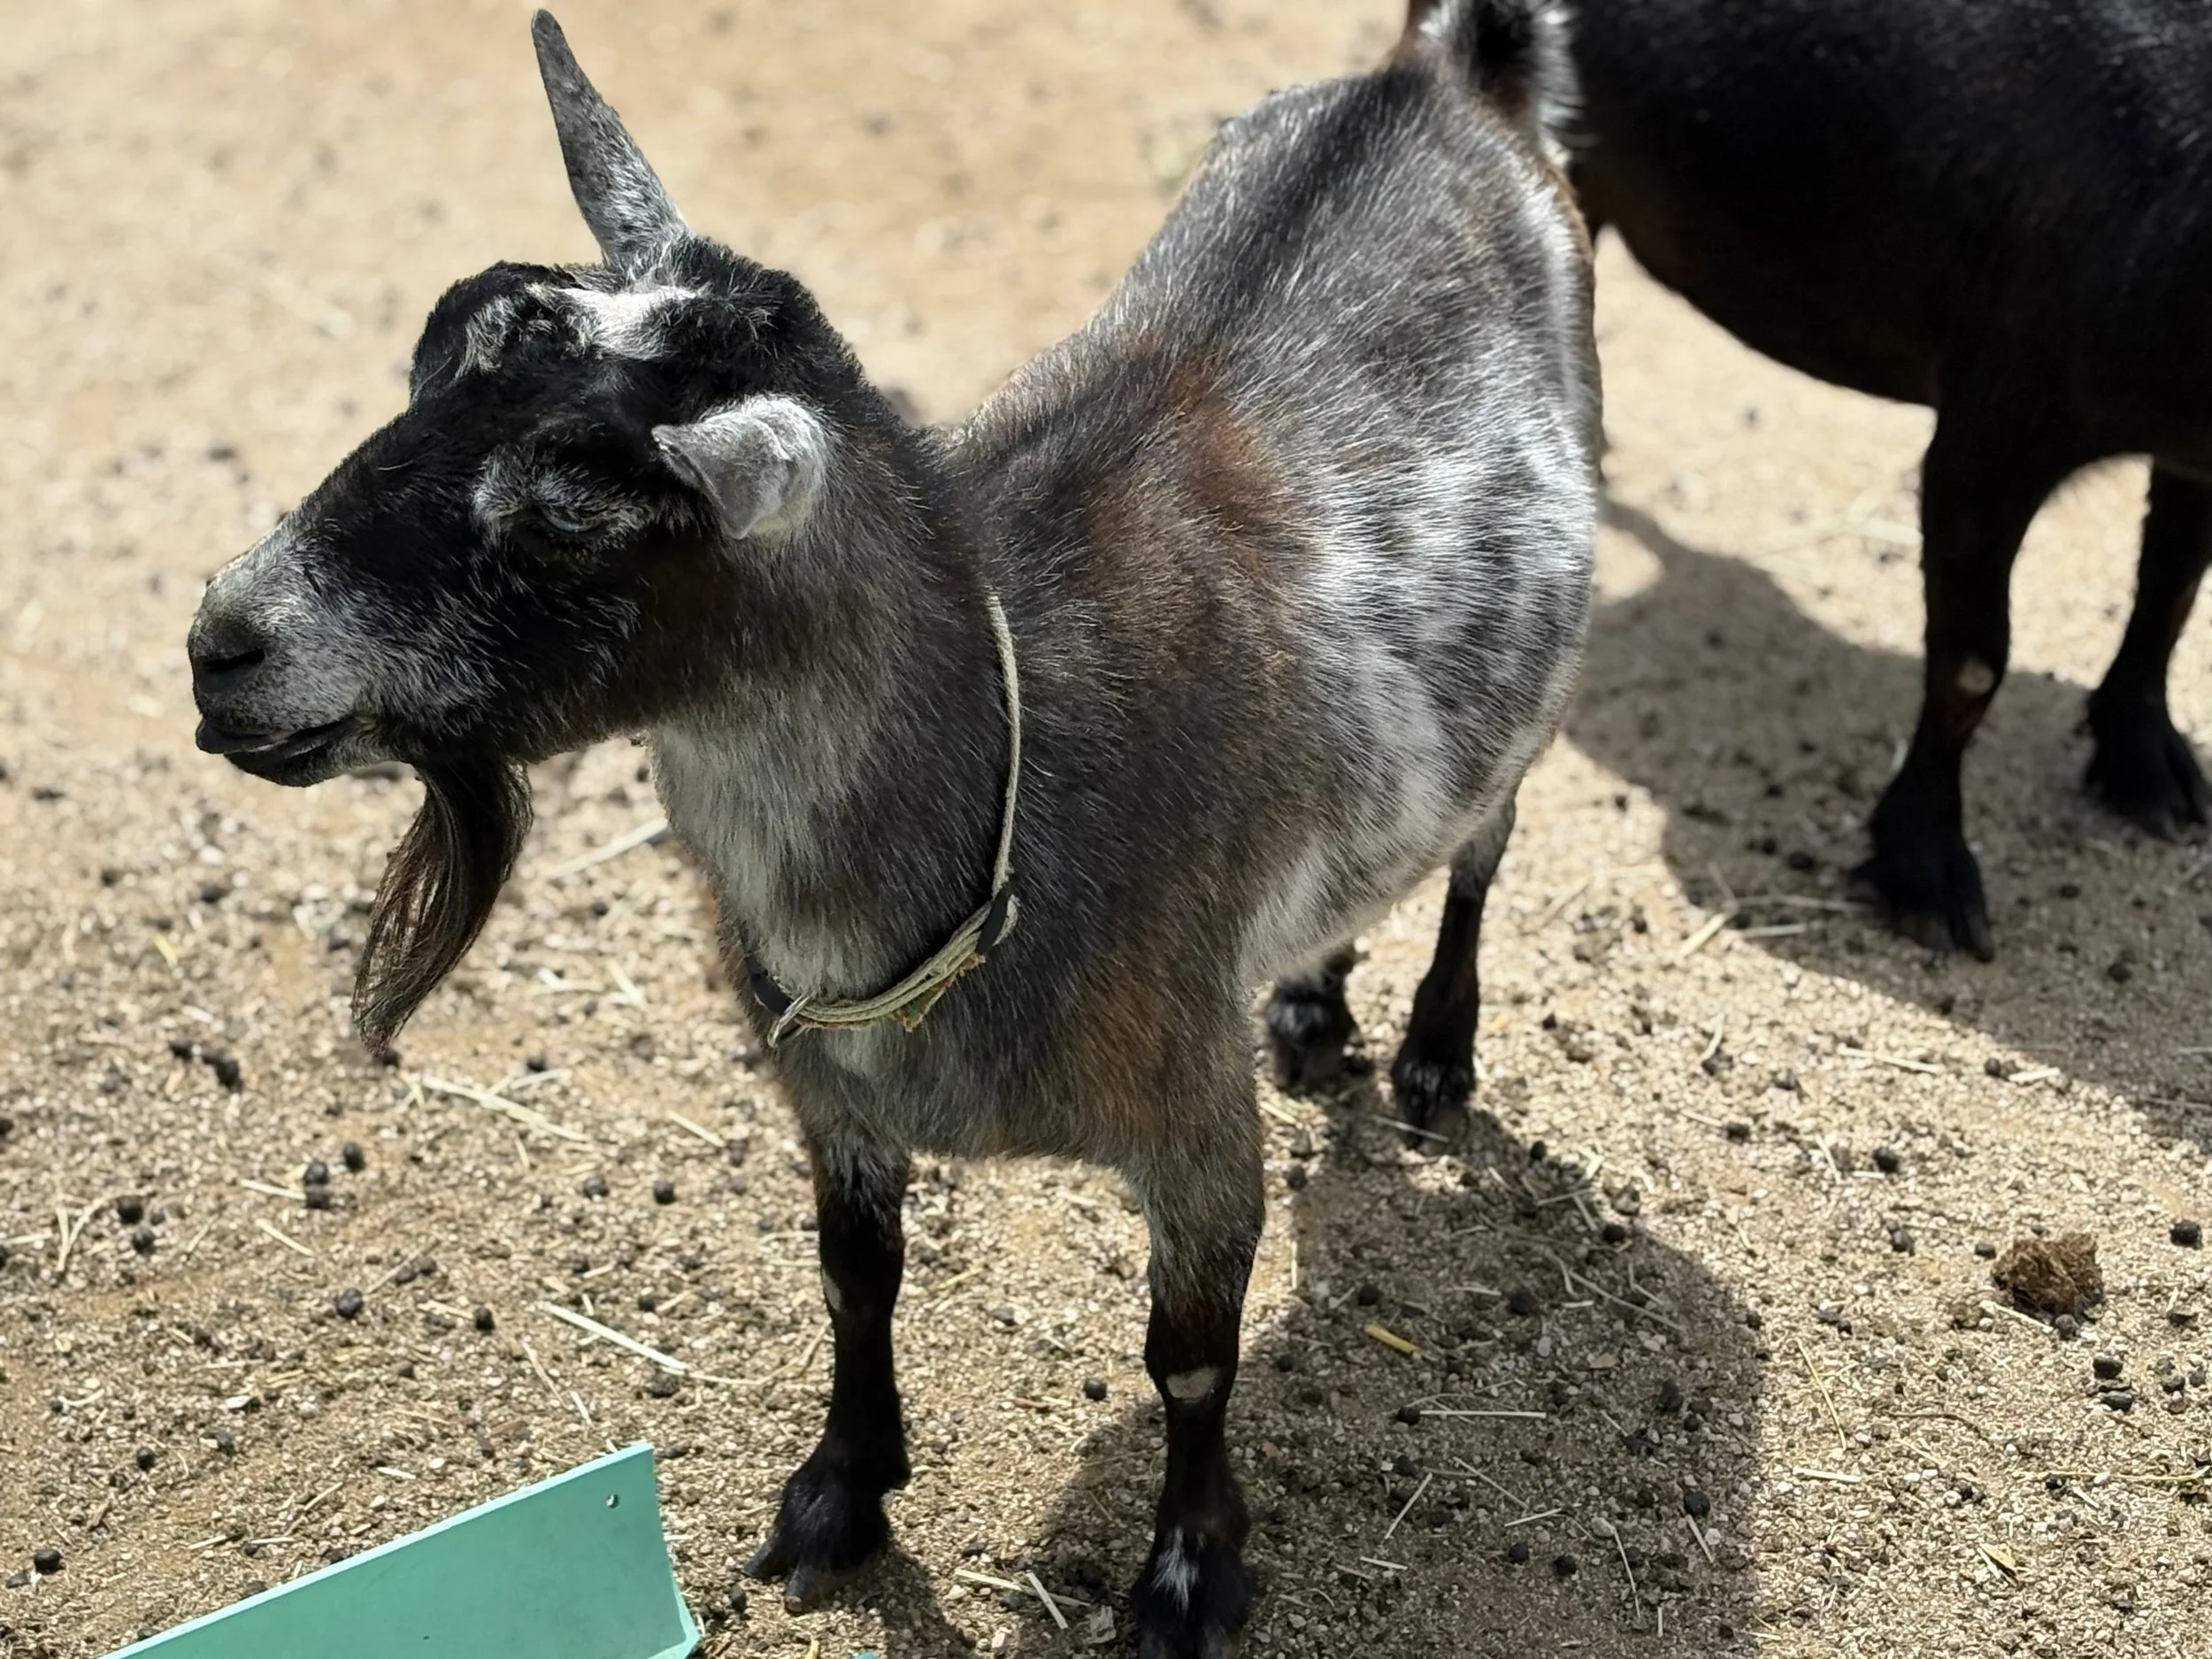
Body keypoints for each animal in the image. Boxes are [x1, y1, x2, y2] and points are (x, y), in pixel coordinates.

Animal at [185, 6, 1596, 1652]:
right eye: (428, 359)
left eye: (574, 506)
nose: (226, 642)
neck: (1006, 797)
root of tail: (1438, 73)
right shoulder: (828, 1092)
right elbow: (856, 1276)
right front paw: (840, 1491)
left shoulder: (1192, 1109)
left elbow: (1189, 1354)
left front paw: (1189, 1574)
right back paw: (1311, 1001)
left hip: (1531, 701)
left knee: (1482, 852)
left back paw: (1435, 1049)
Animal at [1570, 0, 2212, 957]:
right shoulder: (1992, 428)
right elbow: (1972, 664)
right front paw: (1925, 870)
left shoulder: (2192, 451)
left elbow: (2170, 588)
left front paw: (2147, 763)